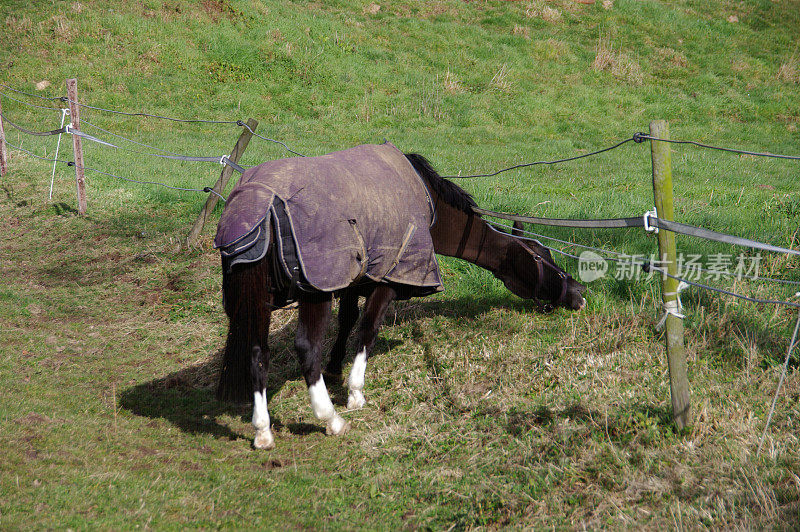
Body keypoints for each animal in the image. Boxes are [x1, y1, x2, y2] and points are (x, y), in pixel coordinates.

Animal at [212, 142, 588, 448]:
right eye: (544, 258)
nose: (579, 292)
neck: (427, 200)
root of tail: (259, 203)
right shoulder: (388, 279)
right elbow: (367, 330)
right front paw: (354, 392)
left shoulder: (355, 279)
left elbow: (348, 321)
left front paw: (335, 368)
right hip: (313, 295)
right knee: (306, 348)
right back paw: (330, 418)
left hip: (256, 301)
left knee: (257, 352)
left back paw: (263, 430)